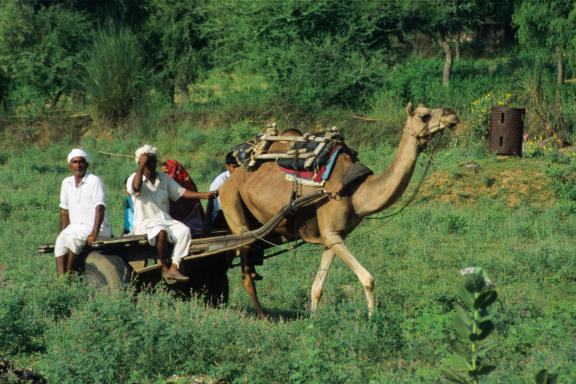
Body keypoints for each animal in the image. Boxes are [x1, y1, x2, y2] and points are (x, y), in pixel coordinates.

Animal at [219, 103, 460, 316]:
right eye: (424, 115)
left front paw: (313, 322)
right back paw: (263, 316)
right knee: (245, 272)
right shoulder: (331, 229)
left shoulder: (334, 235)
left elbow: (316, 288)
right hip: (234, 206)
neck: (356, 190)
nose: (452, 115)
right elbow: (369, 279)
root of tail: (228, 180)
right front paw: (373, 320)